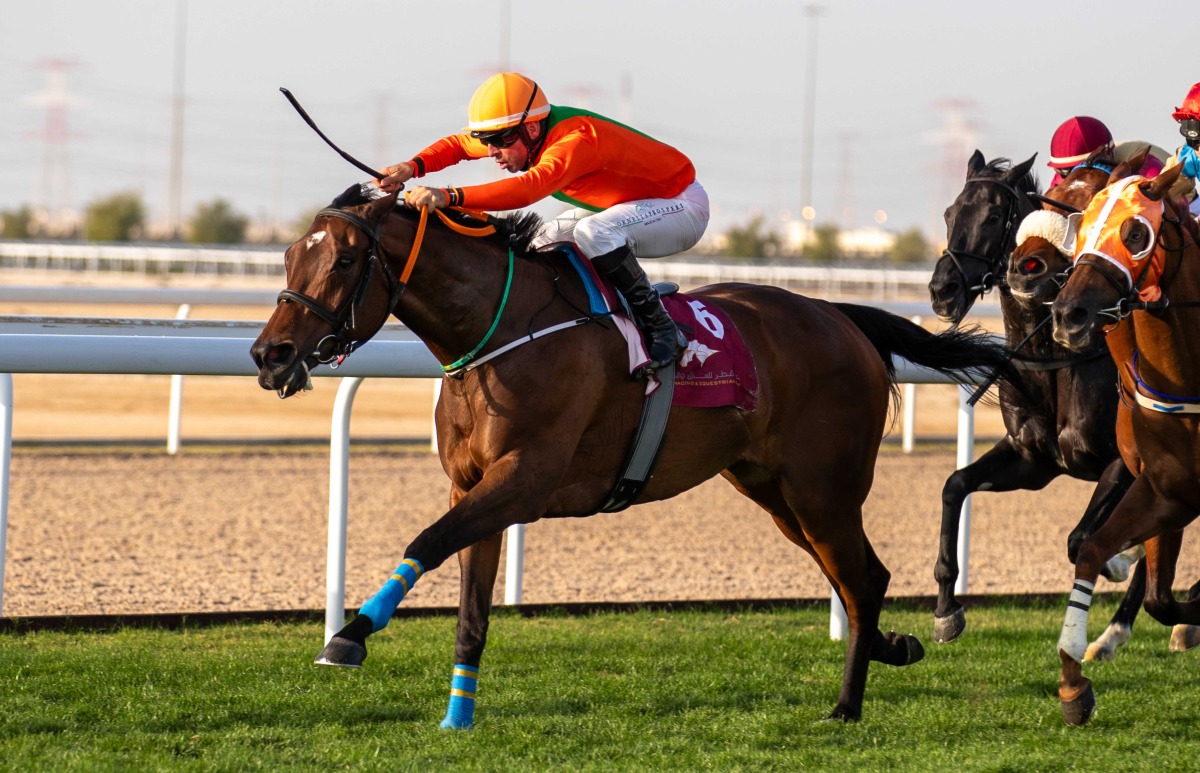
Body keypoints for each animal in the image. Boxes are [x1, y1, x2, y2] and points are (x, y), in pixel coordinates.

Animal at [250, 186, 1012, 724]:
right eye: (289, 258)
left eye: (344, 260)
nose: (269, 354)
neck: (503, 329)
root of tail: (840, 315)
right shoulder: (475, 488)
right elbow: (470, 611)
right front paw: (457, 718)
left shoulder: (524, 480)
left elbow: (425, 542)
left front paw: (348, 636)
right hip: (773, 490)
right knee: (861, 579)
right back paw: (895, 644)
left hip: (823, 488)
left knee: (859, 578)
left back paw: (847, 704)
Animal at [1051, 163, 1200, 724]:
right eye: (1082, 227)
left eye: (1136, 233)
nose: (1068, 314)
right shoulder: (1166, 488)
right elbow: (1098, 553)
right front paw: (1073, 683)